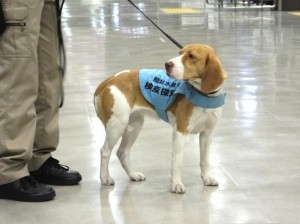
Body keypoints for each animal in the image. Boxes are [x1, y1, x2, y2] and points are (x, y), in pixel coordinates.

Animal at [94, 43, 227, 192]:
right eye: (180, 52)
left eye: (191, 56)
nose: (167, 64)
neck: (204, 95)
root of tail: (110, 80)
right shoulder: (180, 132)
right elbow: (177, 160)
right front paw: (176, 184)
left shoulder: (207, 133)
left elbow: (204, 159)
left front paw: (206, 178)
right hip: (117, 126)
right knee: (105, 151)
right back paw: (105, 178)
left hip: (134, 125)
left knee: (122, 152)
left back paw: (133, 175)